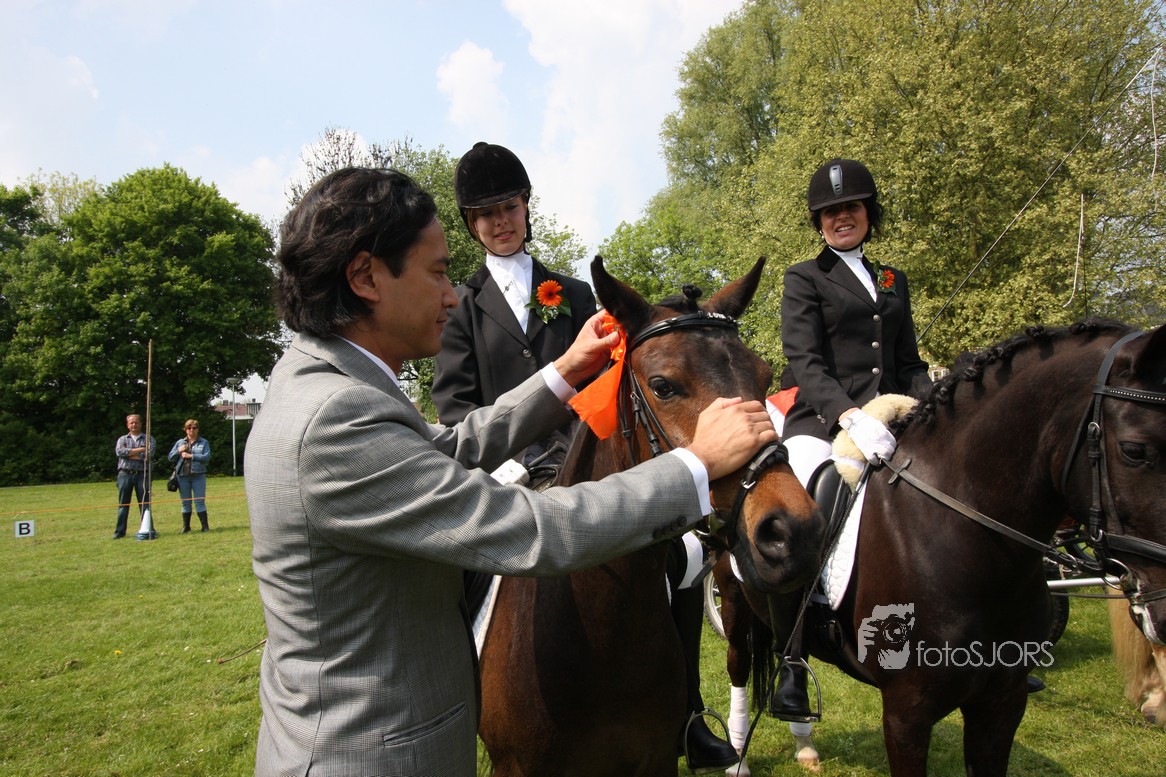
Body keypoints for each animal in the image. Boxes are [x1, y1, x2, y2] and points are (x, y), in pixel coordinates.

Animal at [722, 319, 1166, 776]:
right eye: (1135, 450)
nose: (1163, 616)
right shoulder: (906, 711)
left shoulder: (1003, 702)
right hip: (733, 601)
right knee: (741, 666)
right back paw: (738, 754)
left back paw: (804, 743)